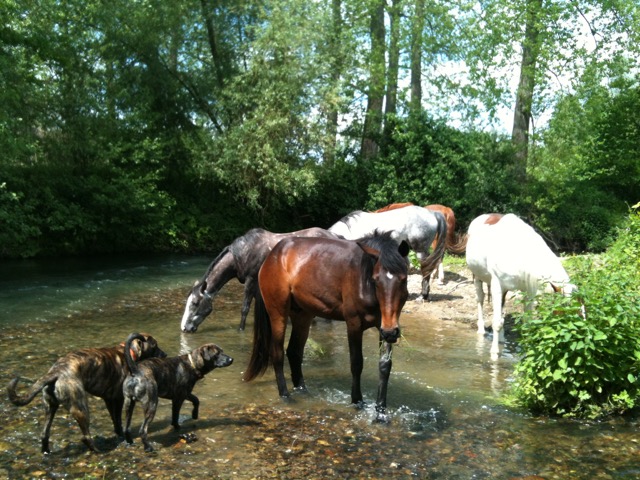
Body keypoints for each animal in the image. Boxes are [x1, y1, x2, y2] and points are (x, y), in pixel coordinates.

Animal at [7, 332, 166, 452]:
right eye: (155, 345)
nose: (165, 355)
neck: (128, 353)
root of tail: (56, 371)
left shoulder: (109, 400)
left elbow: (115, 421)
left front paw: (118, 433)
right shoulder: (119, 400)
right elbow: (118, 420)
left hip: (50, 407)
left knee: (44, 434)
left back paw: (46, 452)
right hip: (80, 407)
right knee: (85, 437)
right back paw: (98, 451)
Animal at [181, 227, 338, 332]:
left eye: (195, 303)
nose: (184, 328)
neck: (242, 255)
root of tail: (335, 236)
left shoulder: (250, 280)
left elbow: (245, 308)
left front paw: (241, 329)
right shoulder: (256, 284)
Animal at [242, 231, 408, 418]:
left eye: (403, 280)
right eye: (376, 280)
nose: (391, 332)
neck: (363, 279)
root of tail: (272, 256)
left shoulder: (384, 326)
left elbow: (385, 366)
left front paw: (381, 412)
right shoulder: (354, 324)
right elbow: (356, 363)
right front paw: (357, 401)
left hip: (302, 315)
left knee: (294, 352)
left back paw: (303, 390)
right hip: (278, 313)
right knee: (277, 353)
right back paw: (285, 395)